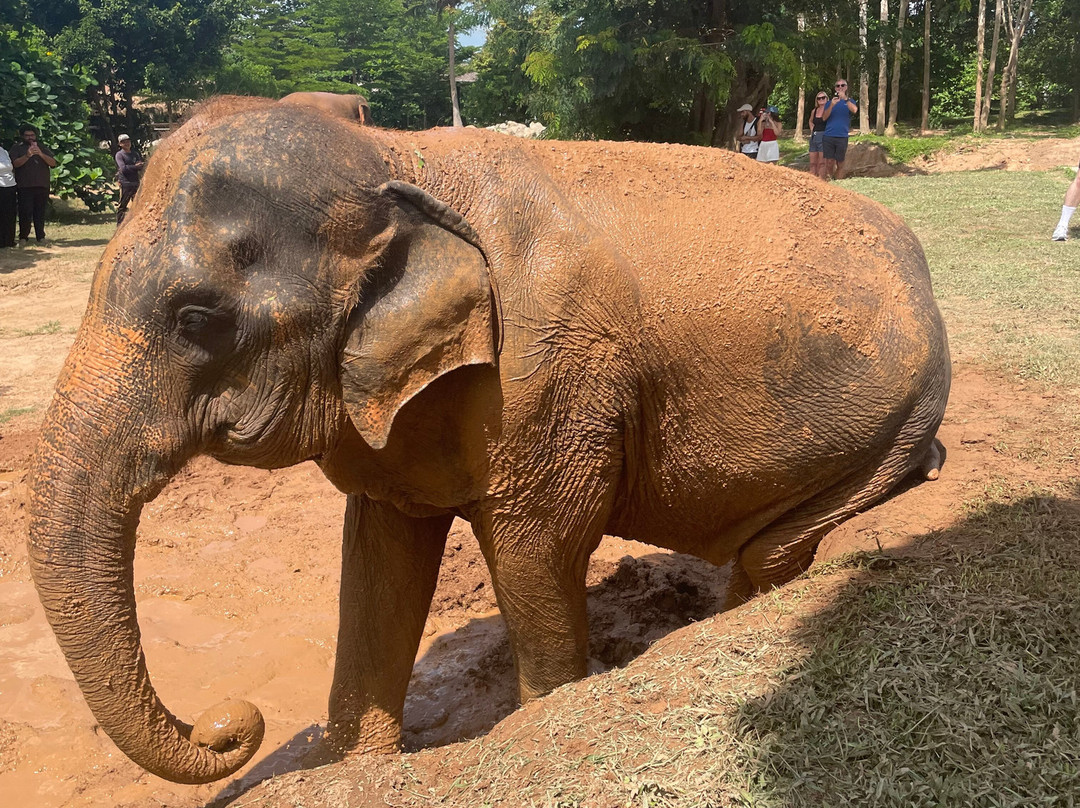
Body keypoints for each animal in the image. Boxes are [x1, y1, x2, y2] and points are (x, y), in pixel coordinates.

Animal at [28, 94, 950, 785]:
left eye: (196, 319)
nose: (230, 724)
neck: (399, 158)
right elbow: (381, 556)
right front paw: (351, 766)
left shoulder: (546, 378)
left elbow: (538, 547)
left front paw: (547, 709)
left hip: (893, 426)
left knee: (772, 551)